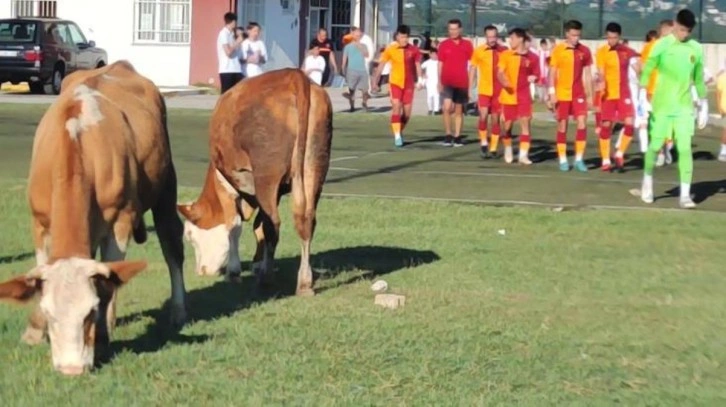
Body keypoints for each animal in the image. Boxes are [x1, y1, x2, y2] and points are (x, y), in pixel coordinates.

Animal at [0, 60, 189, 376]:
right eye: (50, 314)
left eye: (89, 312)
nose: (71, 369)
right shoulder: (39, 222)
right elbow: (40, 269)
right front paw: (34, 331)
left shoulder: (121, 219)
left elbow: (109, 281)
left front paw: (101, 335)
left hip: (166, 185)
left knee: (172, 246)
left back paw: (177, 309)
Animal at [178, 67, 334, 296]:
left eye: (189, 236)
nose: (202, 271)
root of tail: (294, 76)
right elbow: (257, 225)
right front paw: (257, 262)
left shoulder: (226, 183)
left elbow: (234, 226)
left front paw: (234, 272)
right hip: (314, 165)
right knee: (305, 220)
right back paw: (304, 282)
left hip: (266, 175)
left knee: (273, 224)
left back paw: (267, 278)